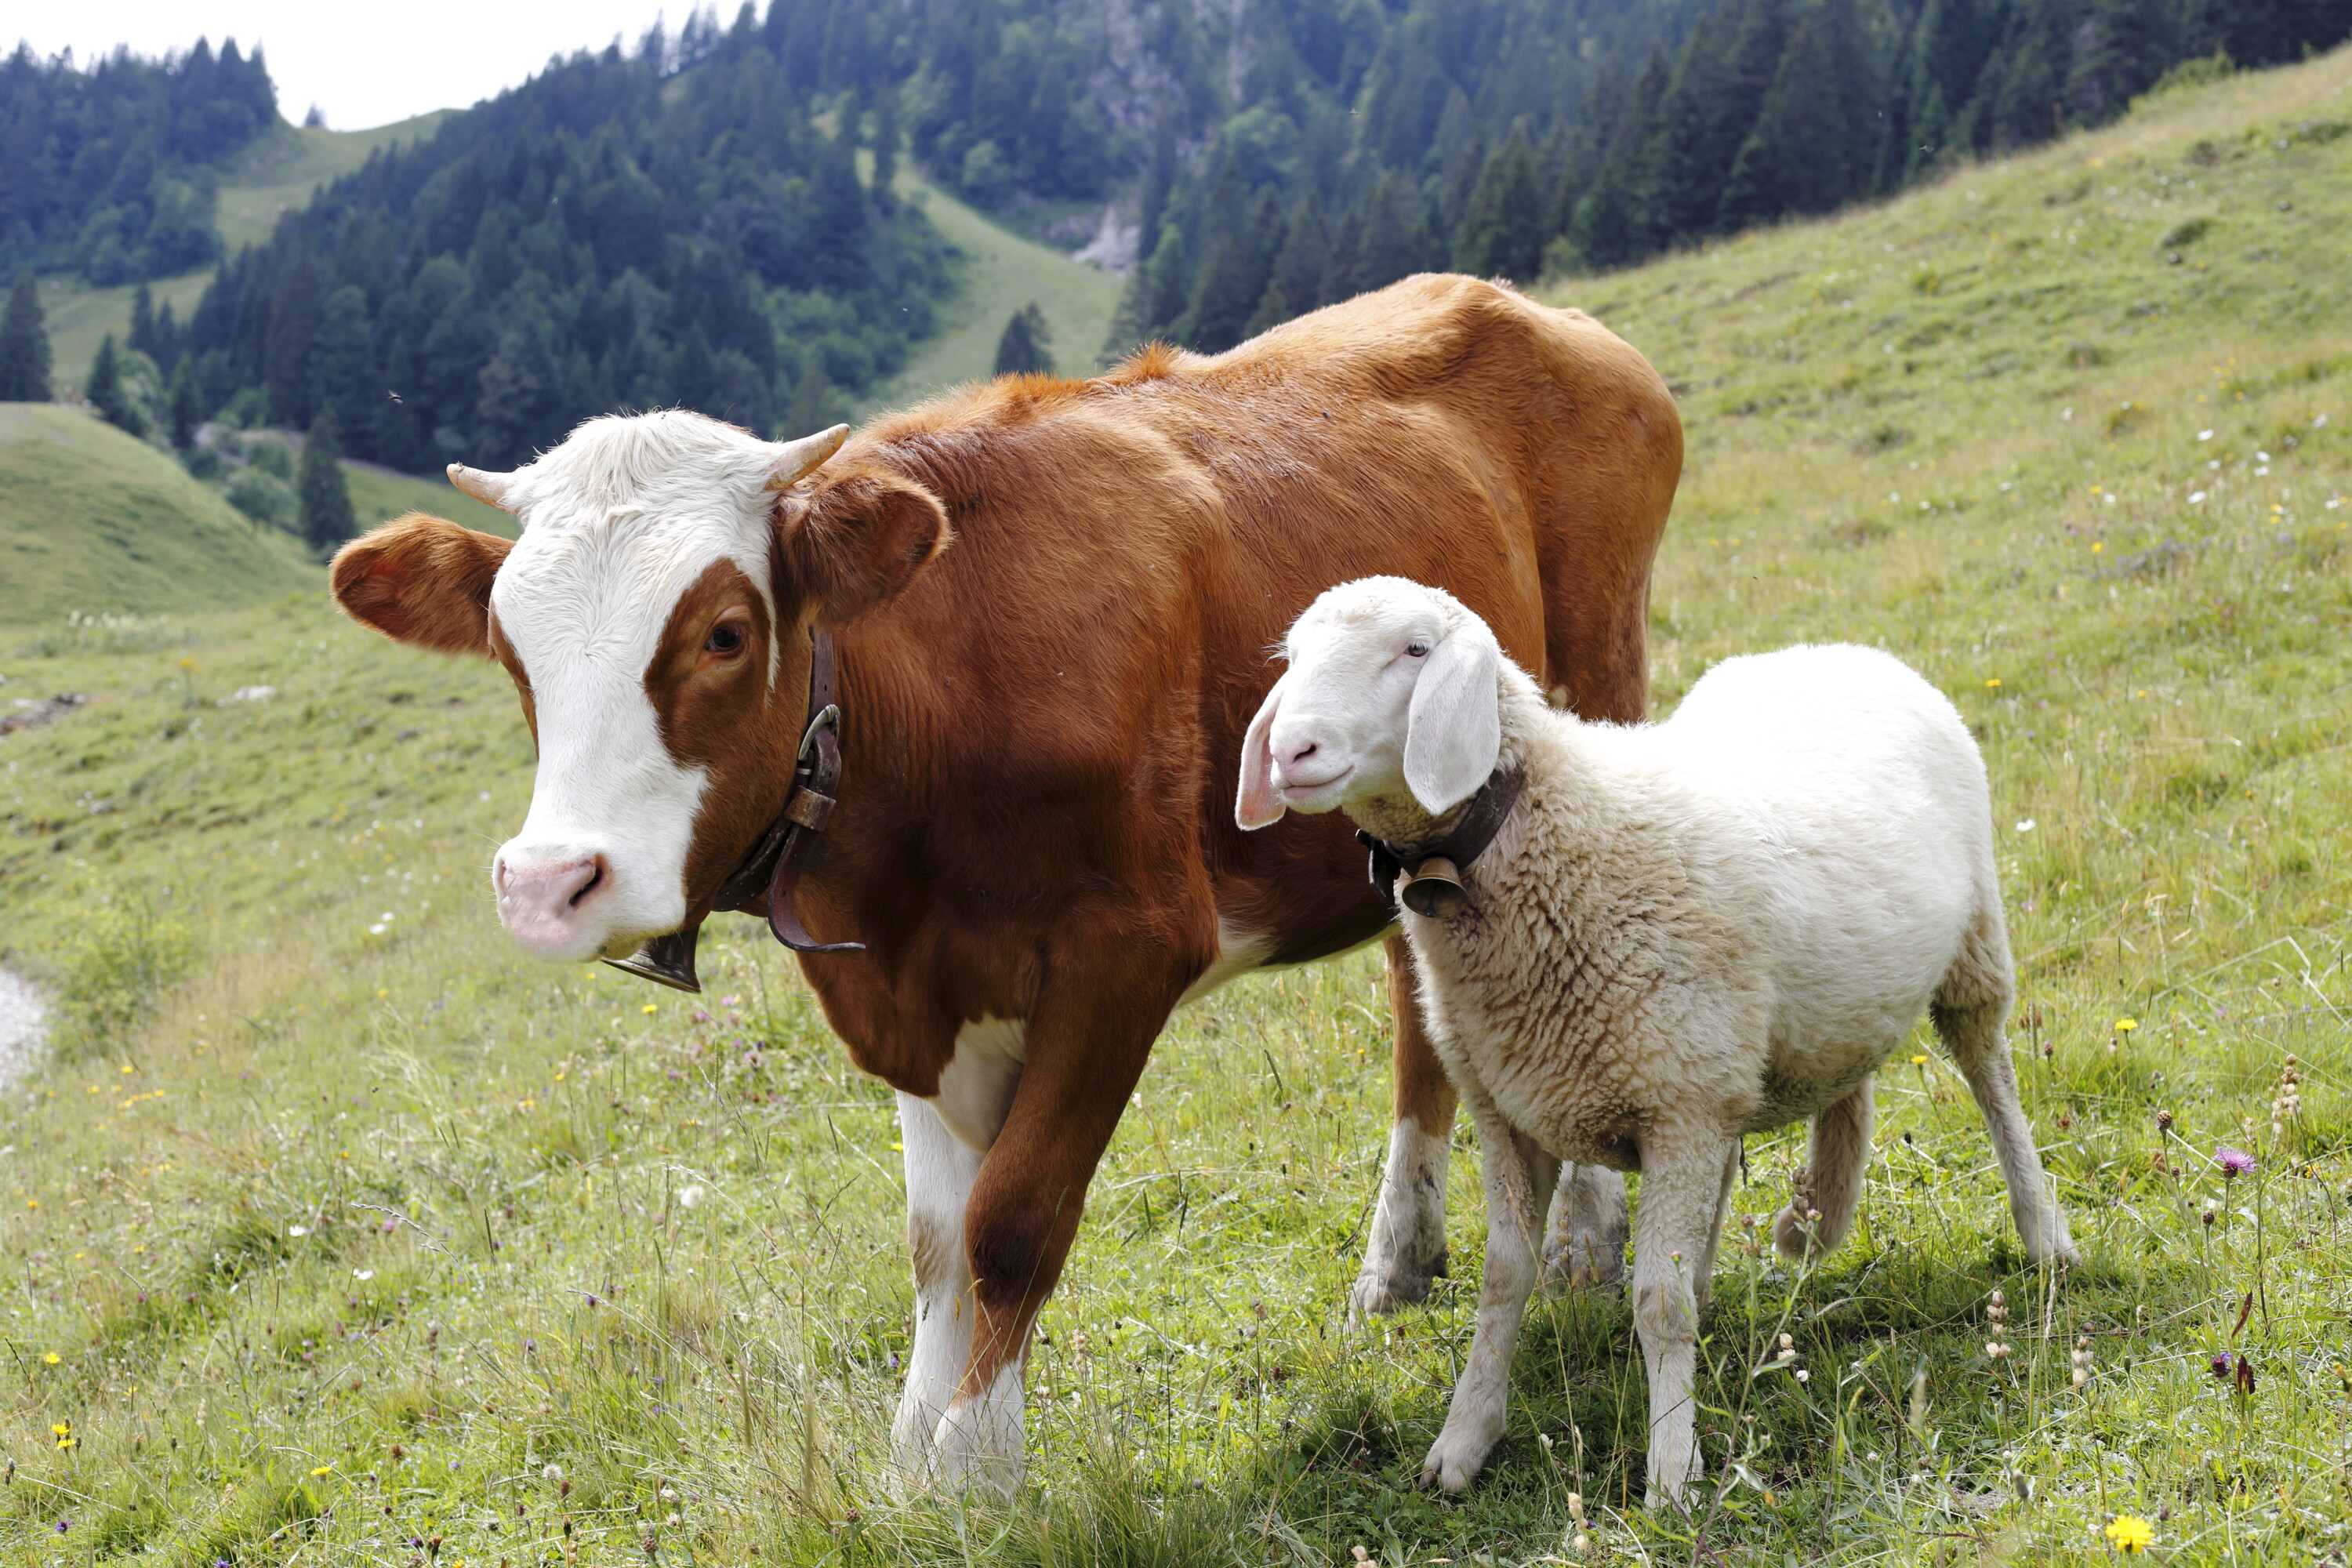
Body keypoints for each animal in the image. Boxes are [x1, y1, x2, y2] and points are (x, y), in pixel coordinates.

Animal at [336, 276, 1693, 1495]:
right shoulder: (911, 989)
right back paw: (1398, 1258)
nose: (547, 882)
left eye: (724, 633)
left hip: (1601, 670)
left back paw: (1583, 1232)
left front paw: (978, 1467)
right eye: (510, 649)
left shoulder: (1126, 948)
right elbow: (939, 1242)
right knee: (1422, 1007)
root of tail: (1521, 300)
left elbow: (1014, 1219)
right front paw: (915, 1461)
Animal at [1232, 580, 2079, 1504]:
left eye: (1415, 650)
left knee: (1991, 1077)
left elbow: (1658, 1302)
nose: (1291, 749)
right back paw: (1813, 1216)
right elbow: (1506, 1279)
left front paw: (1673, 1469)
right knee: (1841, 1086)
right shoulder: (1513, 1110)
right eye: (1292, 657)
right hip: (1802, 1006)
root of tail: (1834, 648)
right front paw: (1465, 1439)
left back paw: (2043, 1232)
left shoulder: (1680, 1102)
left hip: (1972, 949)